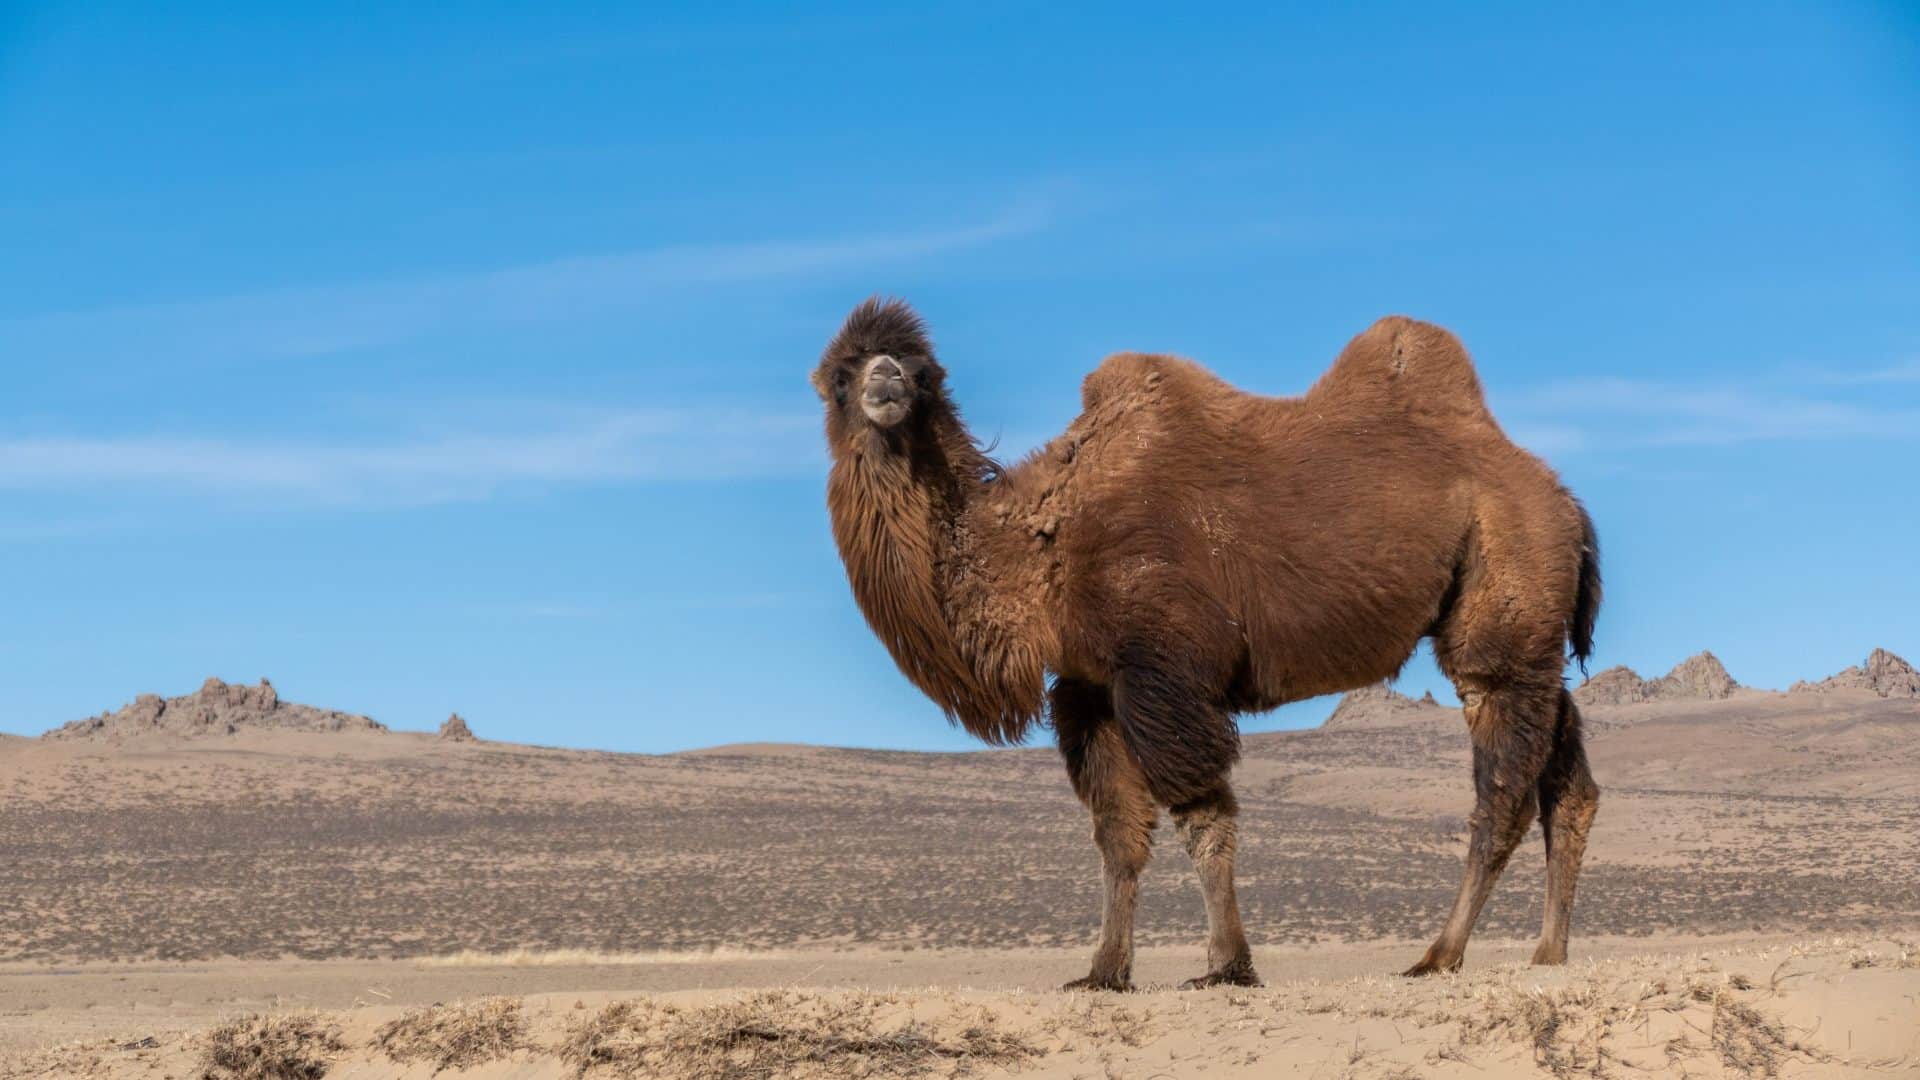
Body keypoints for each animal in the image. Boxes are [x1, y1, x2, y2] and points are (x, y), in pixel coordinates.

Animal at [812, 298, 1601, 990]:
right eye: (844, 372)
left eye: (920, 370)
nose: (886, 380)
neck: (1041, 547)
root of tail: (1562, 498)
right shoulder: (1090, 689)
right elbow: (1118, 835)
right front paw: (1105, 972)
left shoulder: (1163, 669)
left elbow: (1202, 815)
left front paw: (1228, 965)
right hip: (1532, 632)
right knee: (1569, 782)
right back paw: (1548, 952)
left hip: (1505, 591)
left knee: (1503, 786)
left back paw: (1440, 955)